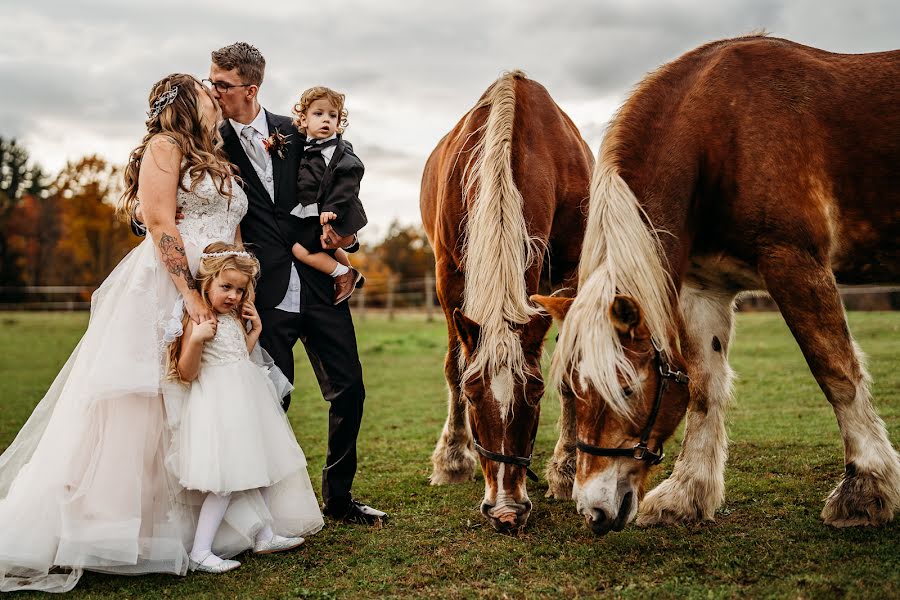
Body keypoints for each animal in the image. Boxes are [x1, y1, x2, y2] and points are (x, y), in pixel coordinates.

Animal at [424, 71, 596, 536]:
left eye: (535, 393)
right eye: (472, 393)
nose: (505, 511)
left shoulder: (571, 270)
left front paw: (566, 470)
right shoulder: (448, 273)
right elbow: (453, 367)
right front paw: (453, 458)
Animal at [536, 36, 900, 536]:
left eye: (626, 390)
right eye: (571, 389)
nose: (594, 510)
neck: (723, 130)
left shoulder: (794, 263)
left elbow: (836, 372)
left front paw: (864, 490)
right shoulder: (702, 289)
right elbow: (704, 389)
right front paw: (685, 494)